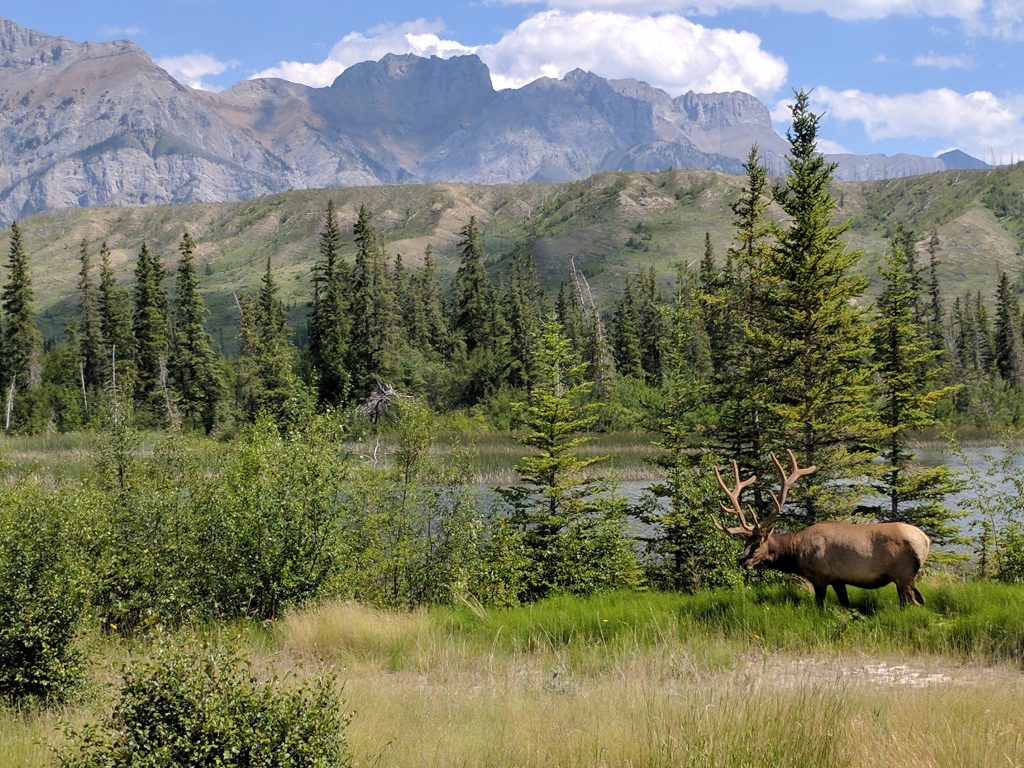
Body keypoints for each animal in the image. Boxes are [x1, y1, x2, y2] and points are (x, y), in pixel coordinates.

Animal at [708, 450, 933, 606]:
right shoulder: (838, 579)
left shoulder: (820, 577)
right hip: (908, 577)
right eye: (745, 542)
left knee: (911, 603)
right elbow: (845, 604)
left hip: (903, 574)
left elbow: (820, 606)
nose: (742, 561)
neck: (796, 553)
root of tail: (926, 541)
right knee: (921, 601)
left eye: (757, 544)